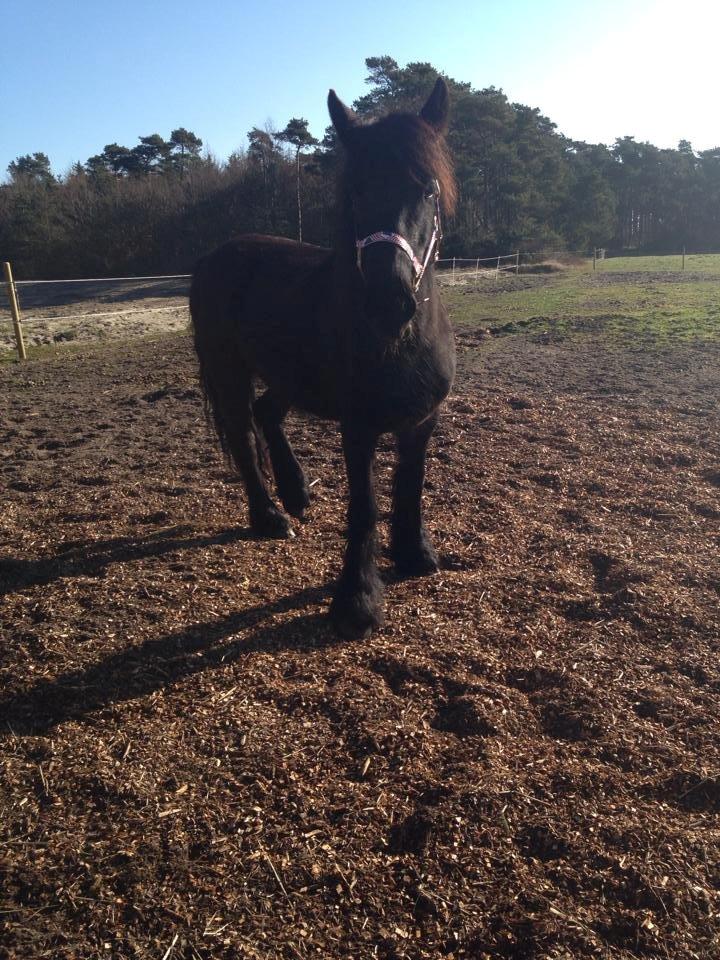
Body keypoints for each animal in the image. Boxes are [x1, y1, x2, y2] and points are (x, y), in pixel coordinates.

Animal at [190, 78, 457, 639]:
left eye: (427, 189)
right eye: (355, 191)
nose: (387, 301)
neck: (401, 342)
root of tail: (216, 255)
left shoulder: (423, 419)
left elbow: (411, 483)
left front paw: (414, 554)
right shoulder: (358, 426)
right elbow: (365, 504)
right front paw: (358, 600)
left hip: (288, 373)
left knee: (266, 413)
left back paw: (296, 494)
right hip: (228, 370)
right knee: (243, 433)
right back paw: (270, 516)